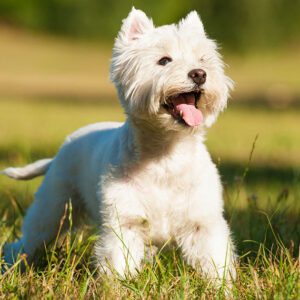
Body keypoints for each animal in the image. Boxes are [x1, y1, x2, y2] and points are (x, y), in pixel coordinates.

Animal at [2, 7, 237, 284]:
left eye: (203, 58)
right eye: (164, 60)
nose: (199, 73)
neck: (166, 155)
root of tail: (62, 149)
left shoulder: (202, 224)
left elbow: (215, 263)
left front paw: (221, 288)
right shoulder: (124, 223)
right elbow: (119, 265)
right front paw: (118, 287)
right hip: (53, 208)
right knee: (26, 243)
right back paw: (11, 268)